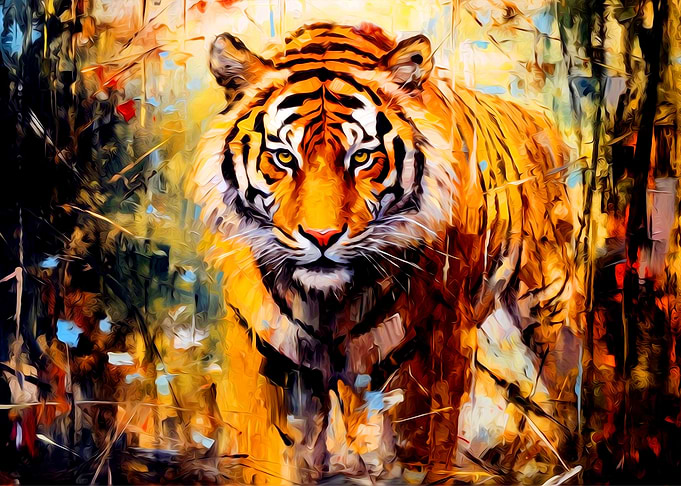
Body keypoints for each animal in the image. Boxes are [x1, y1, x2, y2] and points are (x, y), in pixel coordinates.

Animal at [188, 22, 581, 484]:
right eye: (283, 157)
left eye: (362, 158)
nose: (322, 236)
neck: (330, 301)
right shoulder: (258, 343)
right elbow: (263, 447)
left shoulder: (437, 339)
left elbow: (425, 442)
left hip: (545, 306)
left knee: (552, 381)